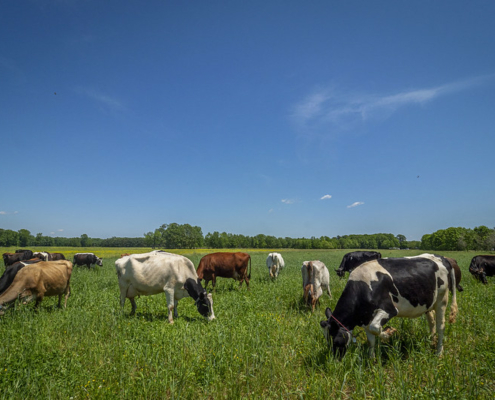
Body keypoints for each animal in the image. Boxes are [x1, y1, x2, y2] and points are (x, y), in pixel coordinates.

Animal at [320, 255, 460, 360]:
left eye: (336, 340)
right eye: (326, 340)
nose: (335, 360)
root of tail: (442, 258)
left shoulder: (389, 310)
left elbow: (375, 328)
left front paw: (389, 332)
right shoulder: (365, 317)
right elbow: (370, 339)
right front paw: (371, 360)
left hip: (442, 299)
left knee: (441, 326)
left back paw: (439, 352)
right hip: (428, 303)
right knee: (431, 322)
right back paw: (432, 342)